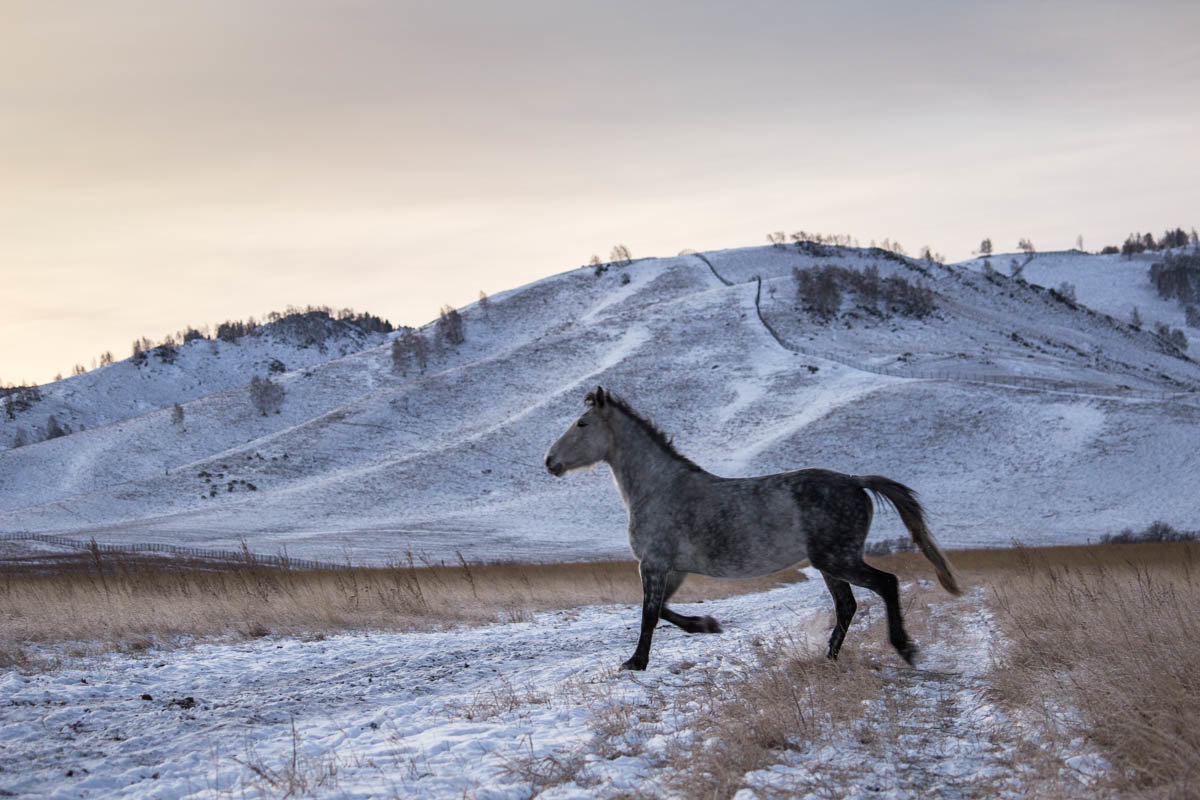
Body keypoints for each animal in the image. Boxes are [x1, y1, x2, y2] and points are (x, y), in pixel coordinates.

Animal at [549, 386, 960, 671]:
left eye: (582, 424)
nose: (549, 461)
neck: (659, 488)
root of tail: (854, 481)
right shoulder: (673, 568)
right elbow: (663, 610)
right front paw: (707, 625)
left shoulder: (653, 564)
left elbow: (649, 614)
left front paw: (635, 662)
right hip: (830, 564)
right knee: (847, 605)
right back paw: (828, 657)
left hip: (839, 559)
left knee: (885, 585)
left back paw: (905, 649)